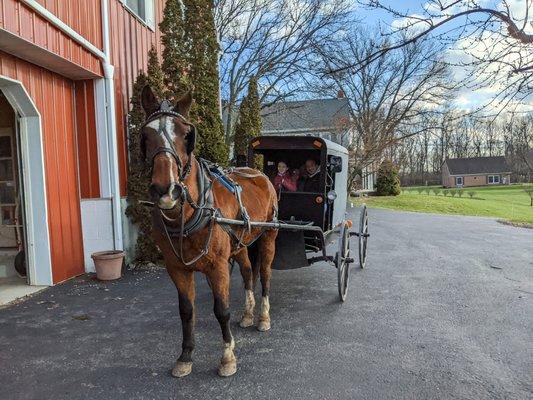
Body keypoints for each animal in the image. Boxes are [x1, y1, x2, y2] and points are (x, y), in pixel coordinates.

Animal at [137, 85, 278, 378]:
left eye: (186, 134)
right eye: (145, 135)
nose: (165, 189)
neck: (189, 215)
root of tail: (260, 174)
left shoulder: (218, 266)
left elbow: (221, 310)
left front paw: (227, 357)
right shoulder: (176, 268)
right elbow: (186, 311)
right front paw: (185, 356)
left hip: (269, 236)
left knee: (265, 275)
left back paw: (263, 317)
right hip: (241, 244)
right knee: (248, 272)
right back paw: (248, 314)